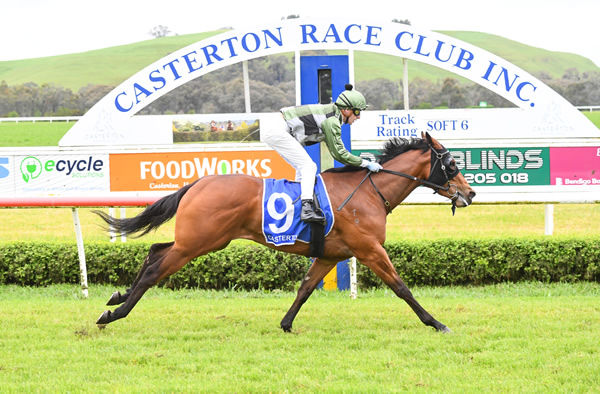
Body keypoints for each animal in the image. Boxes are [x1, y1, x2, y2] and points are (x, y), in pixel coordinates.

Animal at [95, 132, 474, 332]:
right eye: (452, 164)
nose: (469, 193)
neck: (369, 192)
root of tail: (198, 183)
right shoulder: (368, 249)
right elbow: (401, 287)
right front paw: (436, 323)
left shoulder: (331, 255)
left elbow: (305, 288)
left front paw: (286, 324)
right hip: (199, 243)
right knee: (156, 268)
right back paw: (114, 313)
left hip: (198, 240)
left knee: (155, 251)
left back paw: (117, 297)